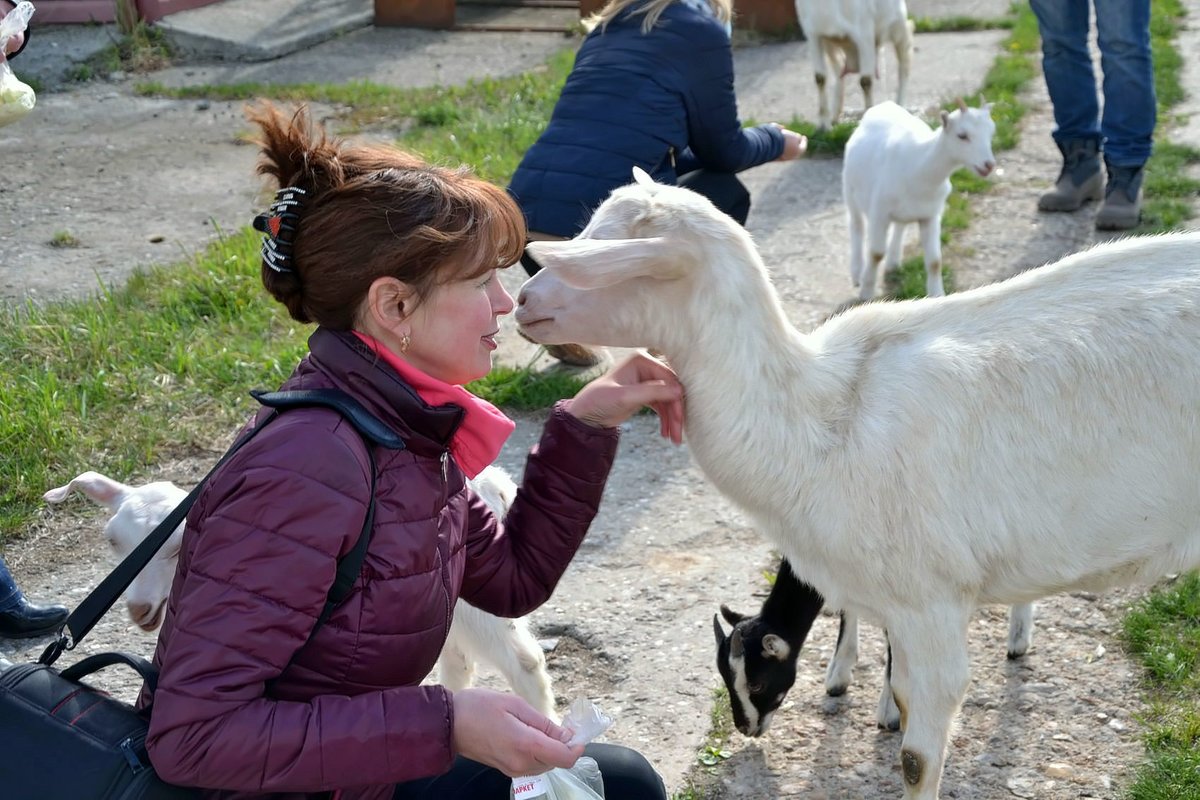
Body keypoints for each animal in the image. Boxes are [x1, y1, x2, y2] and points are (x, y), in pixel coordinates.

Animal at [42, 462, 556, 719]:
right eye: (114, 541)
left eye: (174, 547)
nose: (138, 608)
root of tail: (494, 485)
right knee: (457, 658)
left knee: (523, 661)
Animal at [792, 0, 912, 128]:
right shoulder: (813, 36)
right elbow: (820, 78)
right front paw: (823, 126)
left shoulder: (864, 36)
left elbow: (865, 81)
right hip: (829, 44)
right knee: (839, 67)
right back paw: (835, 116)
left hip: (899, 30)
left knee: (904, 64)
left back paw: (900, 107)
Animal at [844, 97, 1003, 303]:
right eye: (962, 135)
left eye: (991, 132)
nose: (988, 165)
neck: (919, 166)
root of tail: (884, 104)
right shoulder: (879, 212)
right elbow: (876, 253)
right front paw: (866, 293)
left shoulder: (931, 215)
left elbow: (935, 260)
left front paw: (937, 295)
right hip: (849, 189)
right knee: (856, 225)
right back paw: (857, 273)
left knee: (900, 226)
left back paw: (893, 262)